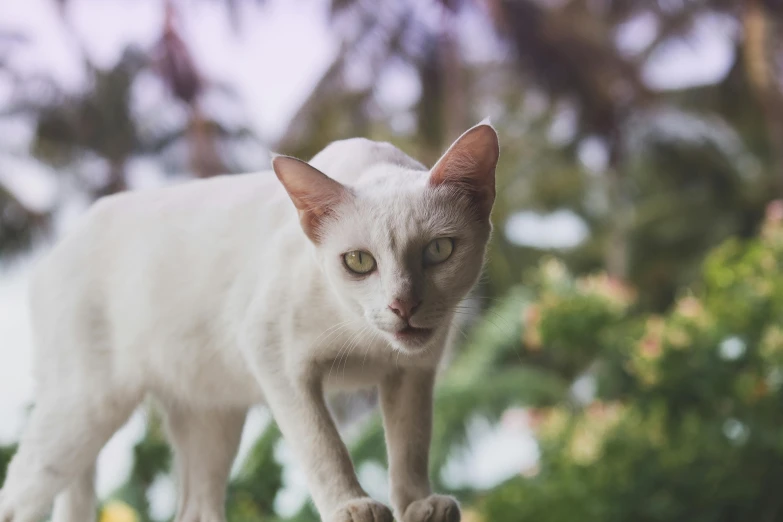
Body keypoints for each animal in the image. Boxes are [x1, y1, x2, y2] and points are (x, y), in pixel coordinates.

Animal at [0, 121, 500, 520]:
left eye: (439, 250)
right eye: (358, 261)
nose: (402, 305)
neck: (366, 339)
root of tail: (57, 247)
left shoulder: (413, 372)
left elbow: (410, 445)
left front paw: (419, 505)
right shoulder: (275, 357)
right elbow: (324, 445)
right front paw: (350, 506)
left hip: (209, 418)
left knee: (196, 511)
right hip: (84, 409)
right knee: (17, 497)